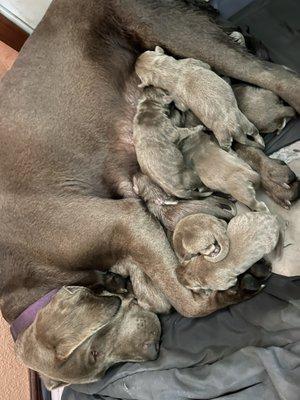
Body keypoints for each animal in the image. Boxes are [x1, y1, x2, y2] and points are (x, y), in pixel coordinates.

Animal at [135, 46, 264, 150]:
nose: (136, 61)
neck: (171, 71)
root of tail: (235, 129)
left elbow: (181, 106)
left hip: (225, 134)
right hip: (244, 121)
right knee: (255, 132)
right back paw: (261, 141)